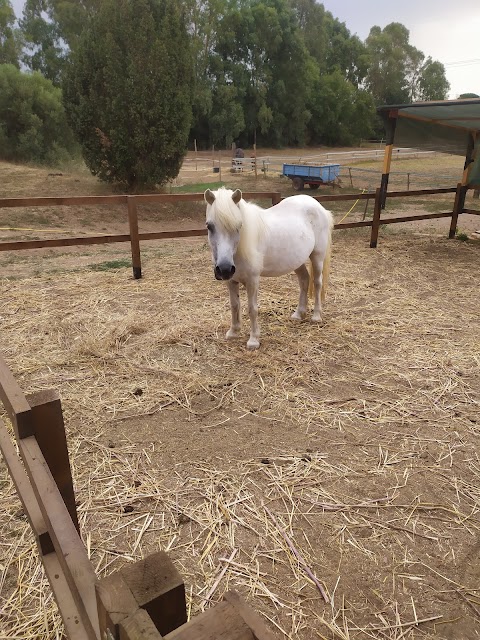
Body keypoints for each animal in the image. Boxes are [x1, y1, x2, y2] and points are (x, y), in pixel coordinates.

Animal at [203, 189, 334, 350]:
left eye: (239, 226)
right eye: (209, 226)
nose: (225, 268)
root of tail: (318, 206)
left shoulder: (252, 280)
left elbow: (252, 309)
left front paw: (253, 340)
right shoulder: (231, 281)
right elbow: (234, 305)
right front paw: (233, 332)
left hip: (317, 257)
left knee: (317, 283)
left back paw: (316, 316)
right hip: (296, 261)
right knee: (304, 280)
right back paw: (298, 314)